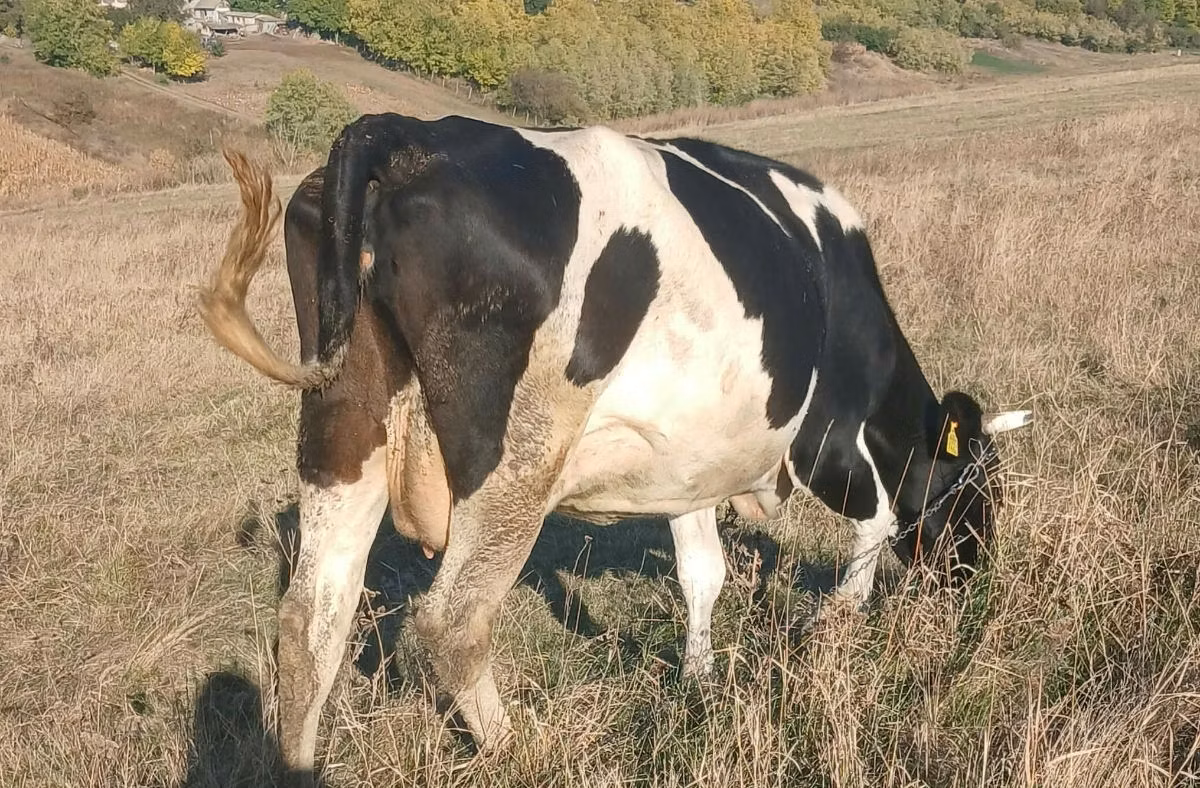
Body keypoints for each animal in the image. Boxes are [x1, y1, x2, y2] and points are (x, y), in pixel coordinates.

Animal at [197, 113, 1032, 782]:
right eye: (979, 493)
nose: (974, 582)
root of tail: (399, 135)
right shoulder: (827, 440)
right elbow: (874, 528)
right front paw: (836, 636)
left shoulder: (690, 464)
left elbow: (702, 573)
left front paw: (696, 680)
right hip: (515, 460)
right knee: (450, 623)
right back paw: (518, 751)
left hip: (342, 430)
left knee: (310, 620)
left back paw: (298, 762)